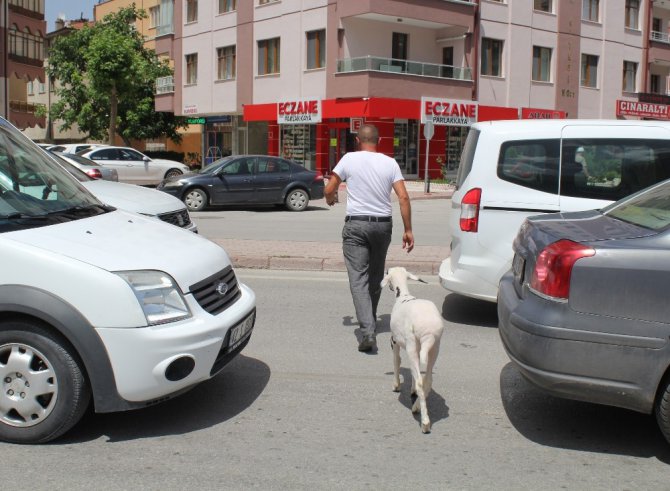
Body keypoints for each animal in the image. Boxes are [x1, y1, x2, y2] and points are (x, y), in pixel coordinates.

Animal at [384, 268, 446, 432]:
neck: (403, 296)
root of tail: (429, 332)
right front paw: (411, 389)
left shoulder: (394, 341)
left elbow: (397, 361)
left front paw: (396, 385)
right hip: (434, 348)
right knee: (427, 380)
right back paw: (417, 406)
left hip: (412, 345)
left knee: (420, 381)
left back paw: (425, 422)